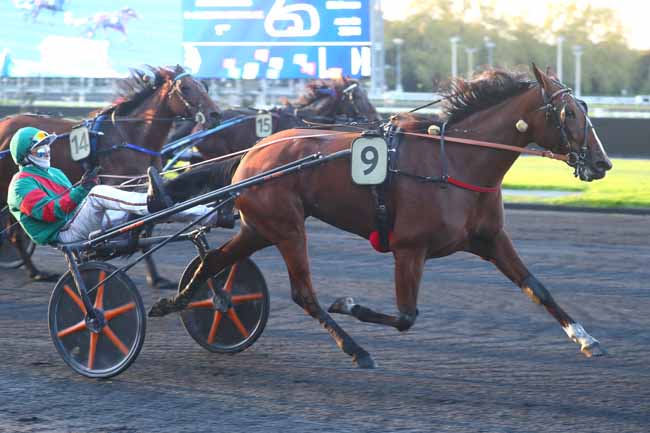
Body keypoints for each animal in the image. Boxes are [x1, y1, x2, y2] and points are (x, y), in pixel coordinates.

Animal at [0, 63, 220, 280]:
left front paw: (154, 275)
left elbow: (146, 221)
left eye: (203, 86)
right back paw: (35, 272)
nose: (215, 114)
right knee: (14, 234)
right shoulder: (117, 183)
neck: (132, 136)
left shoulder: (140, 184)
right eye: (185, 88)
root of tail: (5, 123)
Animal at [149, 64, 612, 366]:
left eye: (586, 108)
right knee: (303, 294)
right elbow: (406, 317)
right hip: (287, 227)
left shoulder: (490, 239)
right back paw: (356, 349)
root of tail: (254, 150)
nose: (602, 163)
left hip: (260, 227)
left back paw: (177, 301)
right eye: (570, 113)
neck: (456, 162)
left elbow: (537, 288)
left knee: (212, 260)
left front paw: (586, 338)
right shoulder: (409, 248)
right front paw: (349, 303)